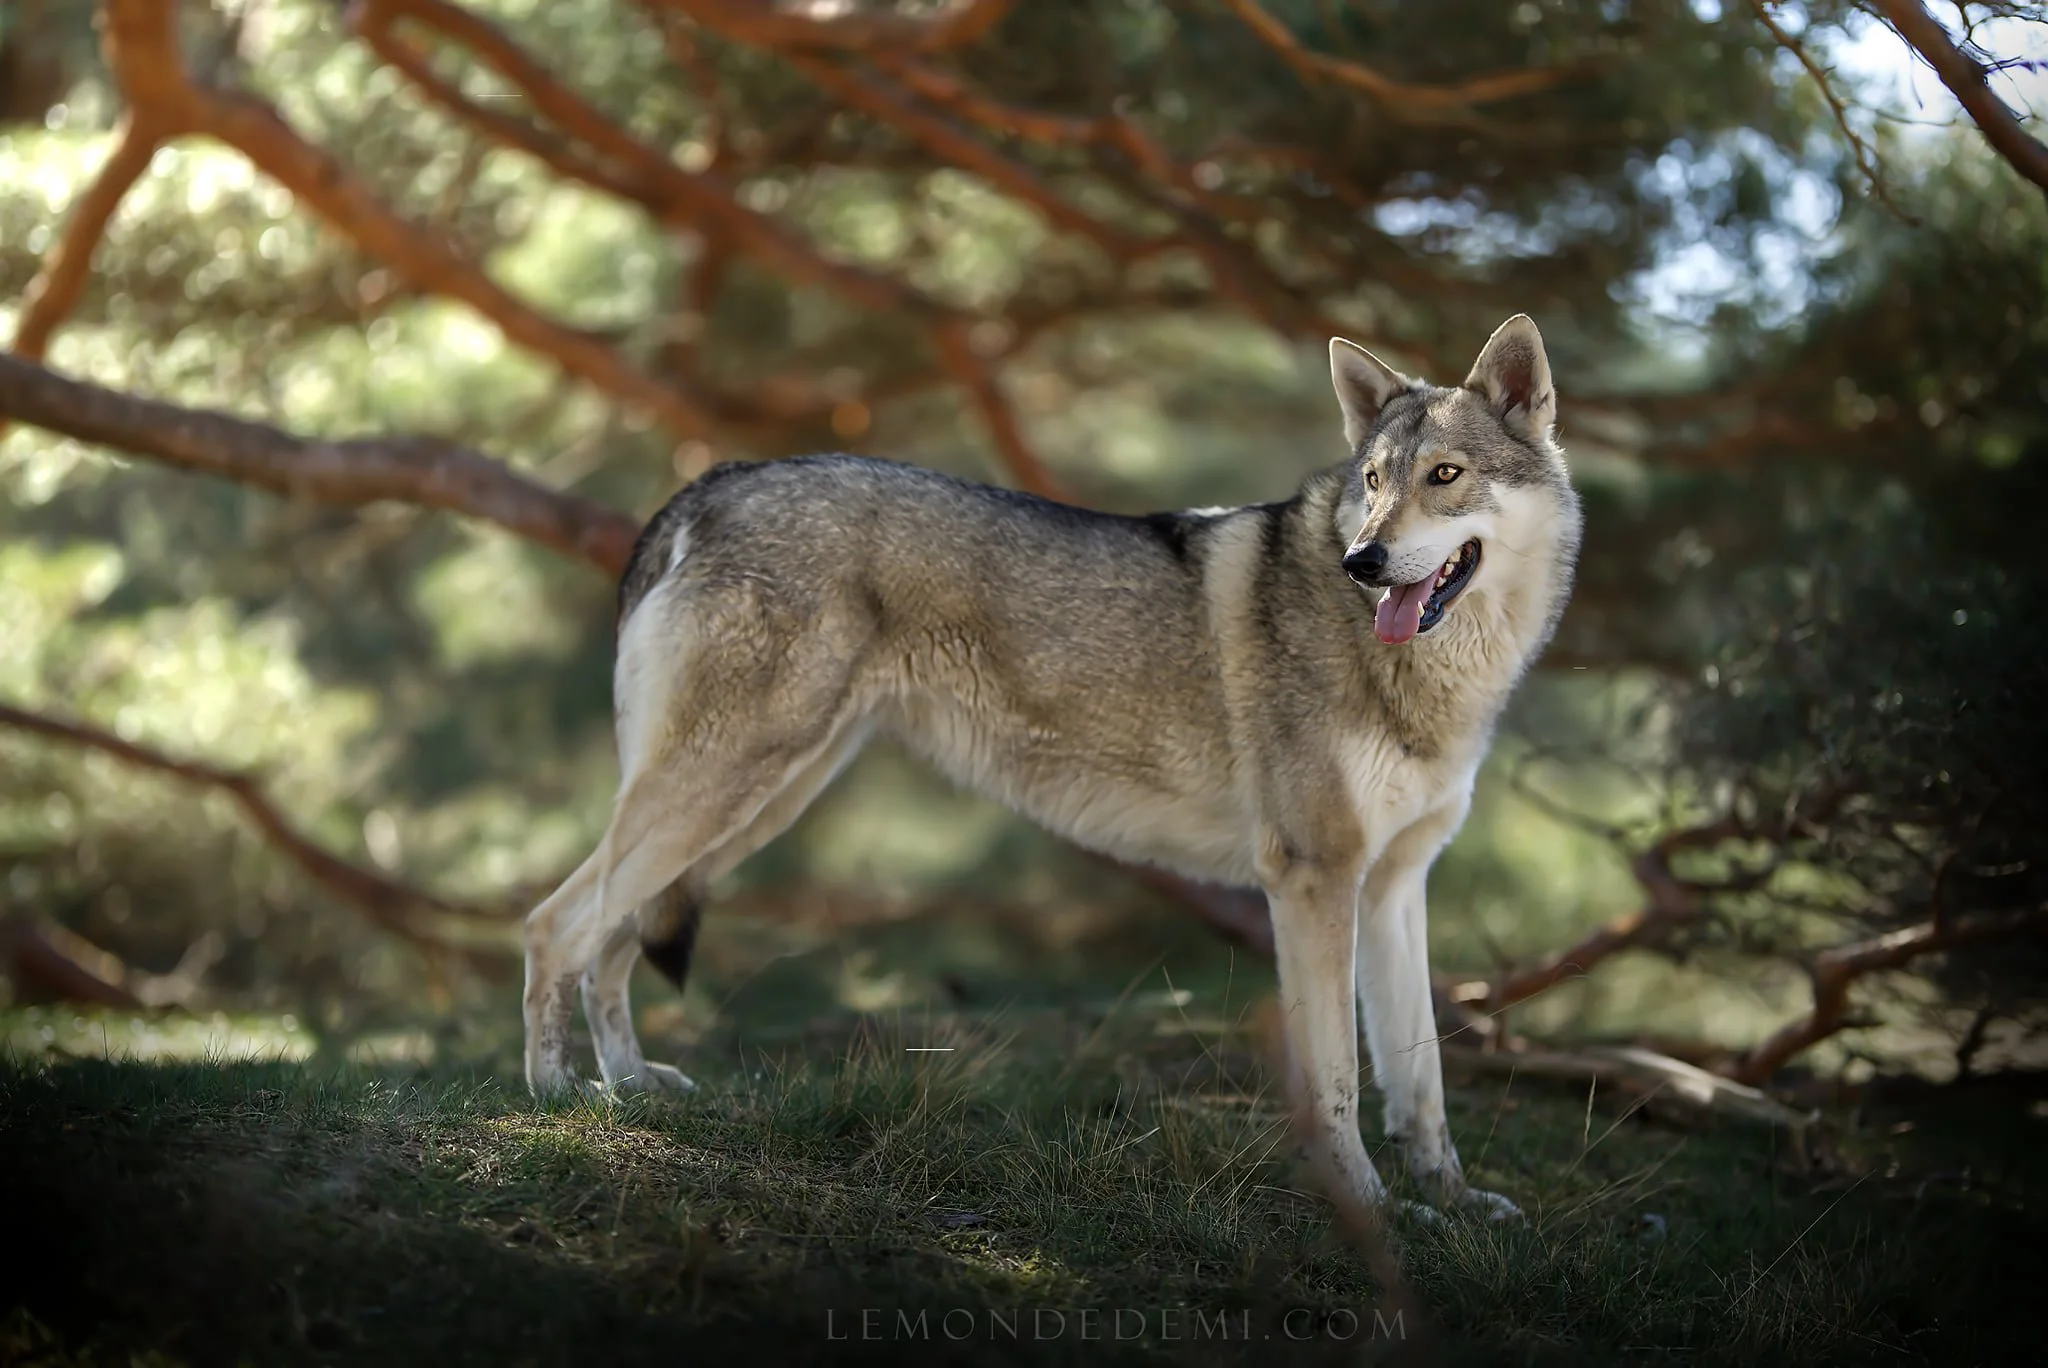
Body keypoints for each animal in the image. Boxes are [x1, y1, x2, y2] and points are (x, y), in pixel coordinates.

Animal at [522, 315, 1581, 1219]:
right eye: (1372, 480)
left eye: (1444, 475)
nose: (1365, 559)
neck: (1433, 677)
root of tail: (714, 480)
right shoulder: (1313, 879)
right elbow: (1337, 1083)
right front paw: (1366, 1208)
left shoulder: (1396, 884)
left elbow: (1421, 1080)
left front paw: (1449, 1203)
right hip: (722, 793)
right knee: (553, 925)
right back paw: (559, 1100)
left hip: (751, 807)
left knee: (609, 938)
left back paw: (632, 1089)